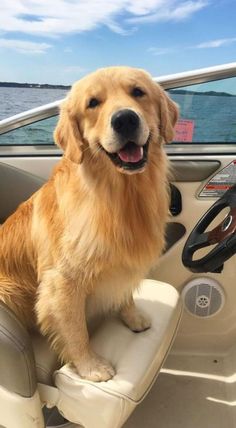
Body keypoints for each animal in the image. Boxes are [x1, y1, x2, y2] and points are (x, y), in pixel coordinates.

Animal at [0, 67, 178, 382]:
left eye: (138, 92)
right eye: (93, 103)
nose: (125, 119)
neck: (120, 195)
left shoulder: (124, 259)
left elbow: (125, 291)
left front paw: (132, 317)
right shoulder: (63, 281)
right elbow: (75, 330)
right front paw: (90, 366)